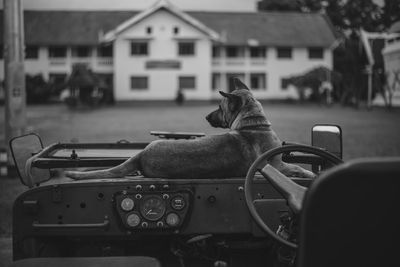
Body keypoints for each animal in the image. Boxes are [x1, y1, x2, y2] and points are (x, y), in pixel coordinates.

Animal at [65, 78, 316, 181]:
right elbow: (297, 168)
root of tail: (141, 153)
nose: (206, 116)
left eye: (219, 107)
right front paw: (310, 174)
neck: (254, 123)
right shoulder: (277, 166)